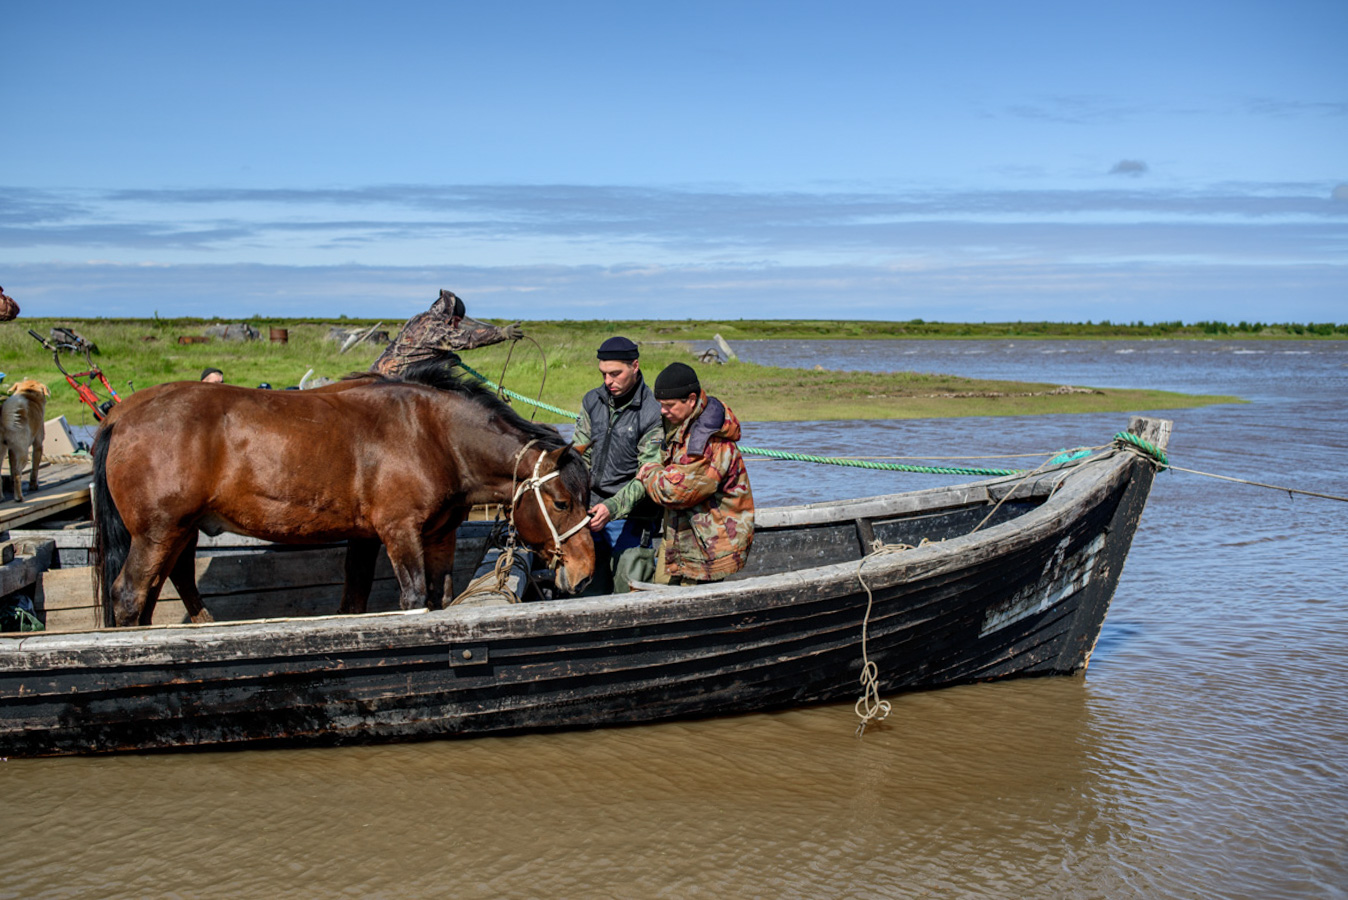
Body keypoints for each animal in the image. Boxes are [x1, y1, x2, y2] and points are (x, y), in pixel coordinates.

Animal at [92, 361, 593, 630]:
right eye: (562, 502)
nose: (586, 572)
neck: (435, 435)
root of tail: (119, 415)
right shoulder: (399, 533)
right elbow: (414, 597)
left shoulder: (423, 536)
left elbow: (415, 596)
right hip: (158, 533)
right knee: (129, 596)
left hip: (178, 532)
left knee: (163, 586)